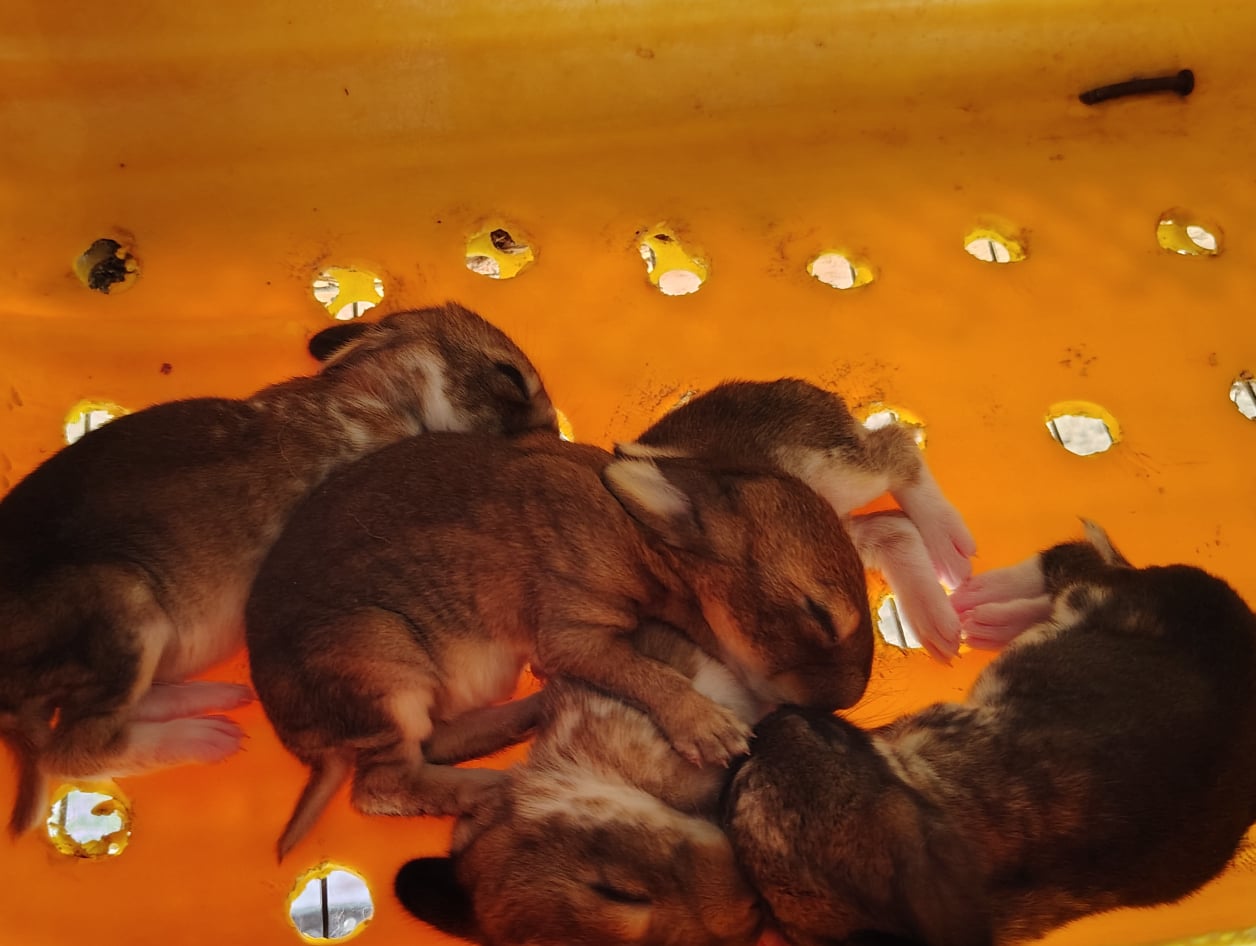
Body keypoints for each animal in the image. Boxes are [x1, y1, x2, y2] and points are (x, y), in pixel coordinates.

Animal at [0, 301, 557, 837]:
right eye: (509, 374)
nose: (550, 434)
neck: (379, 393)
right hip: (126, 612)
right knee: (78, 750)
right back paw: (204, 739)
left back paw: (219, 705)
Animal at [245, 429, 874, 860]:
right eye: (819, 613)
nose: (847, 699)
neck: (647, 542)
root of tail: (308, 744)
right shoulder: (574, 629)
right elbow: (642, 671)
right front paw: (712, 730)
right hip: (383, 662)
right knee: (383, 784)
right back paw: (496, 786)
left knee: (434, 744)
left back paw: (527, 717)